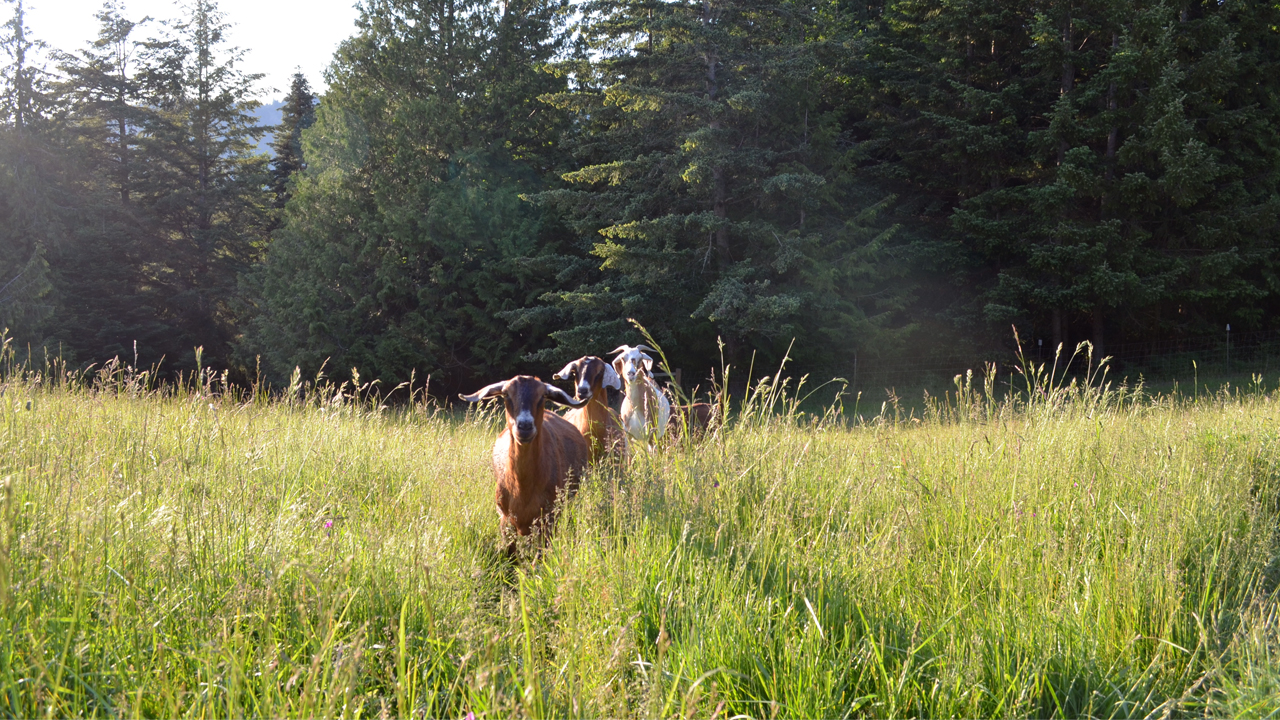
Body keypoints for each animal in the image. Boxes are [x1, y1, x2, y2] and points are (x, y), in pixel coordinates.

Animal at [460, 371, 588, 545]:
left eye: (543, 395)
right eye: (506, 394)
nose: (525, 426)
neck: (523, 488)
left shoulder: (549, 519)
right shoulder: (505, 519)